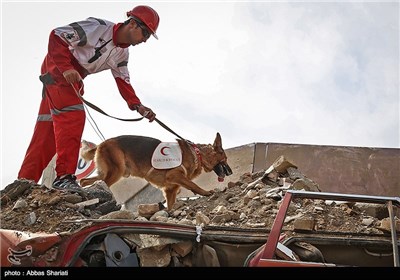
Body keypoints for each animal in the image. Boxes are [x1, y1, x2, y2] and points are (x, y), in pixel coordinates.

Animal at [79, 133, 233, 210]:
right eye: (225, 159)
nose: (231, 172)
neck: (198, 154)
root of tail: (101, 144)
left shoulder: (170, 189)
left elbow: (170, 205)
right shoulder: (174, 176)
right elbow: (193, 184)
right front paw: (205, 192)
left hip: (110, 172)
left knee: (84, 180)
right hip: (117, 171)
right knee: (100, 182)